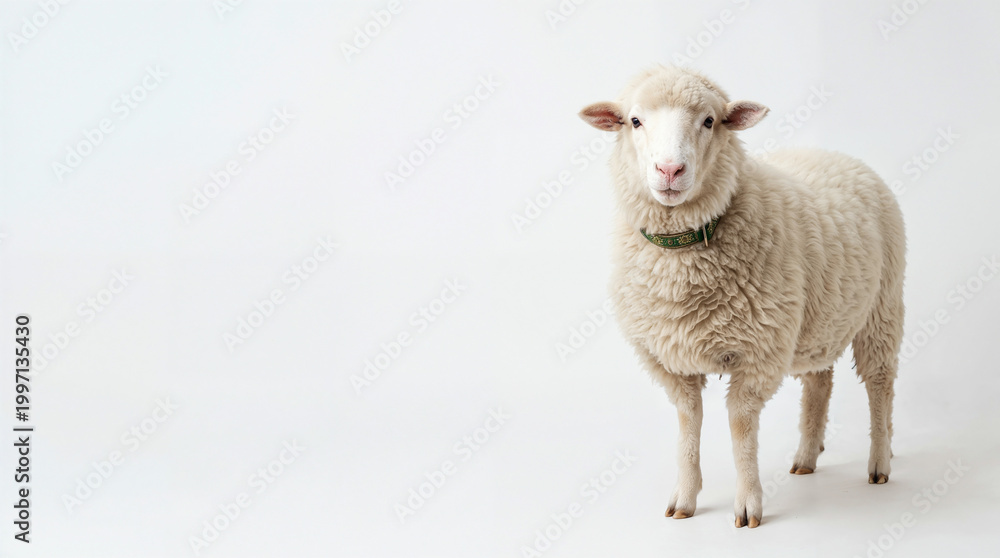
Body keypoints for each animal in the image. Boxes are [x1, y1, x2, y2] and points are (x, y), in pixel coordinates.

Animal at [578, 65, 905, 528]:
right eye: (634, 121)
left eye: (709, 121)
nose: (670, 170)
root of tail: (839, 156)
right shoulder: (670, 360)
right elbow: (688, 424)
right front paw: (685, 499)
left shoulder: (758, 354)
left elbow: (740, 427)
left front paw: (749, 504)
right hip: (816, 322)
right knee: (819, 382)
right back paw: (807, 457)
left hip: (883, 307)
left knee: (880, 384)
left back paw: (880, 461)